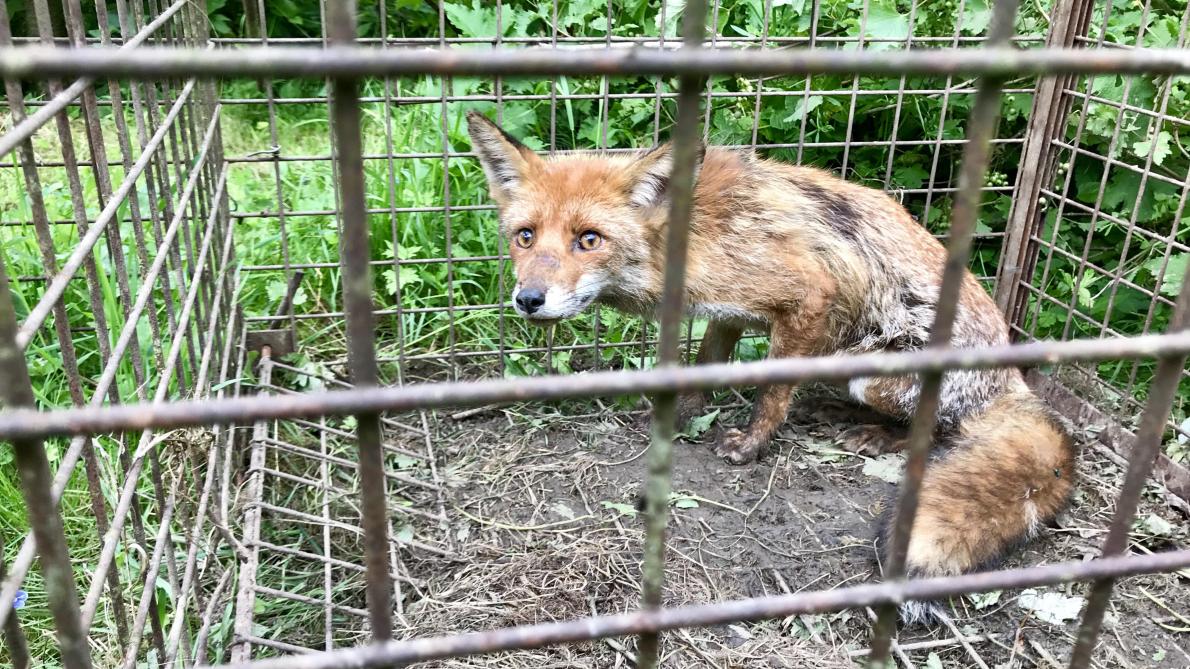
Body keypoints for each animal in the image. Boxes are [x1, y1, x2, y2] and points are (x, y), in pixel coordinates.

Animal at [464, 110, 1080, 619]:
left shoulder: (807, 296)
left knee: (940, 430)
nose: (529, 299)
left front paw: (752, 445)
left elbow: (772, 391)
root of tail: (1013, 379)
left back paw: (879, 436)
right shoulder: (727, 310)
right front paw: (684, 413)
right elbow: (706, 365)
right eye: (525, 237)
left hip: (871, 372)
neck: (692, 235)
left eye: (589, 240)